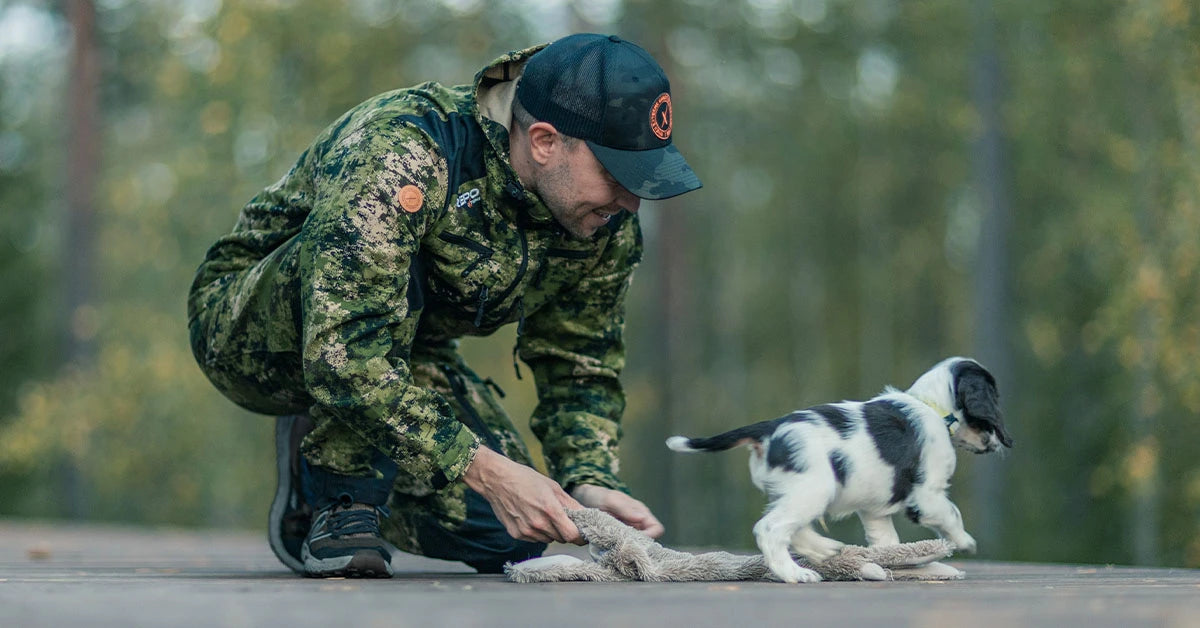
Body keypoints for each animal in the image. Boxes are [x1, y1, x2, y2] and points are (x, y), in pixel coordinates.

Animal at [667, 357, 1012, 585]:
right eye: (995, 396)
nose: (999, 442)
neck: (931, 406)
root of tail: (770, 429)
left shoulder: (875, 511)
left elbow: (888, 542)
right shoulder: (927, 496)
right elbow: (952, 515)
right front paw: (965, 542)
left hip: (801, 492)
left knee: (793, 528)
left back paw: (824, 550)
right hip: (816, 488)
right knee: (769, 528)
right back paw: (795, 573)